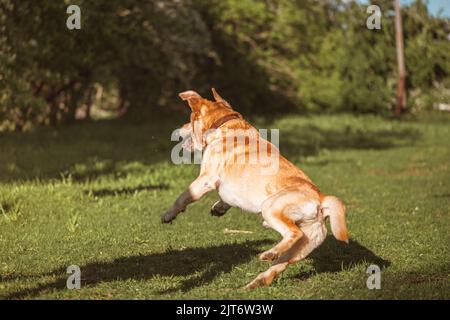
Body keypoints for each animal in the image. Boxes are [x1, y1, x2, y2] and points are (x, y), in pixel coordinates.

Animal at [162, 89, 348, 288]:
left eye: (189, 120)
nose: (179, 127)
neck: (224, 124)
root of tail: (321, 198)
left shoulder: (206, 179)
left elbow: (182, 197)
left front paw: (168, 215)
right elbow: (224, 200)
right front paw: (218, 208)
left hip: (270, 208)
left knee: (293, 233)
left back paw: (269, 253)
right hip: (303, 245)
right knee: (279, 265)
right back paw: (257, 280)